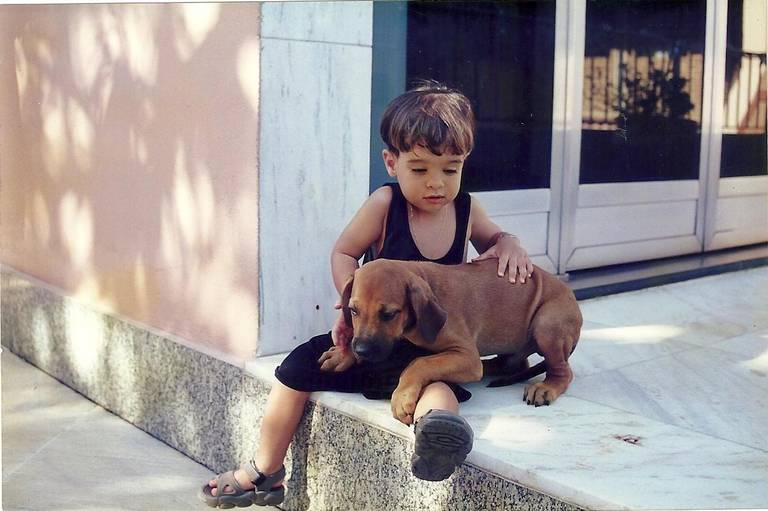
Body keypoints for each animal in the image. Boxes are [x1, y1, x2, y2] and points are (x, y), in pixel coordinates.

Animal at [320, 260, 584, 424]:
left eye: (389, 314)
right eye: (353, 310)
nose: (362, 351)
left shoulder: (465, 354)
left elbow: (419, 363)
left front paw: (402, 396)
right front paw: (342, 353)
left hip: (547, 324)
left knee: (562, 371)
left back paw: (546, 387)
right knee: (513, 364)